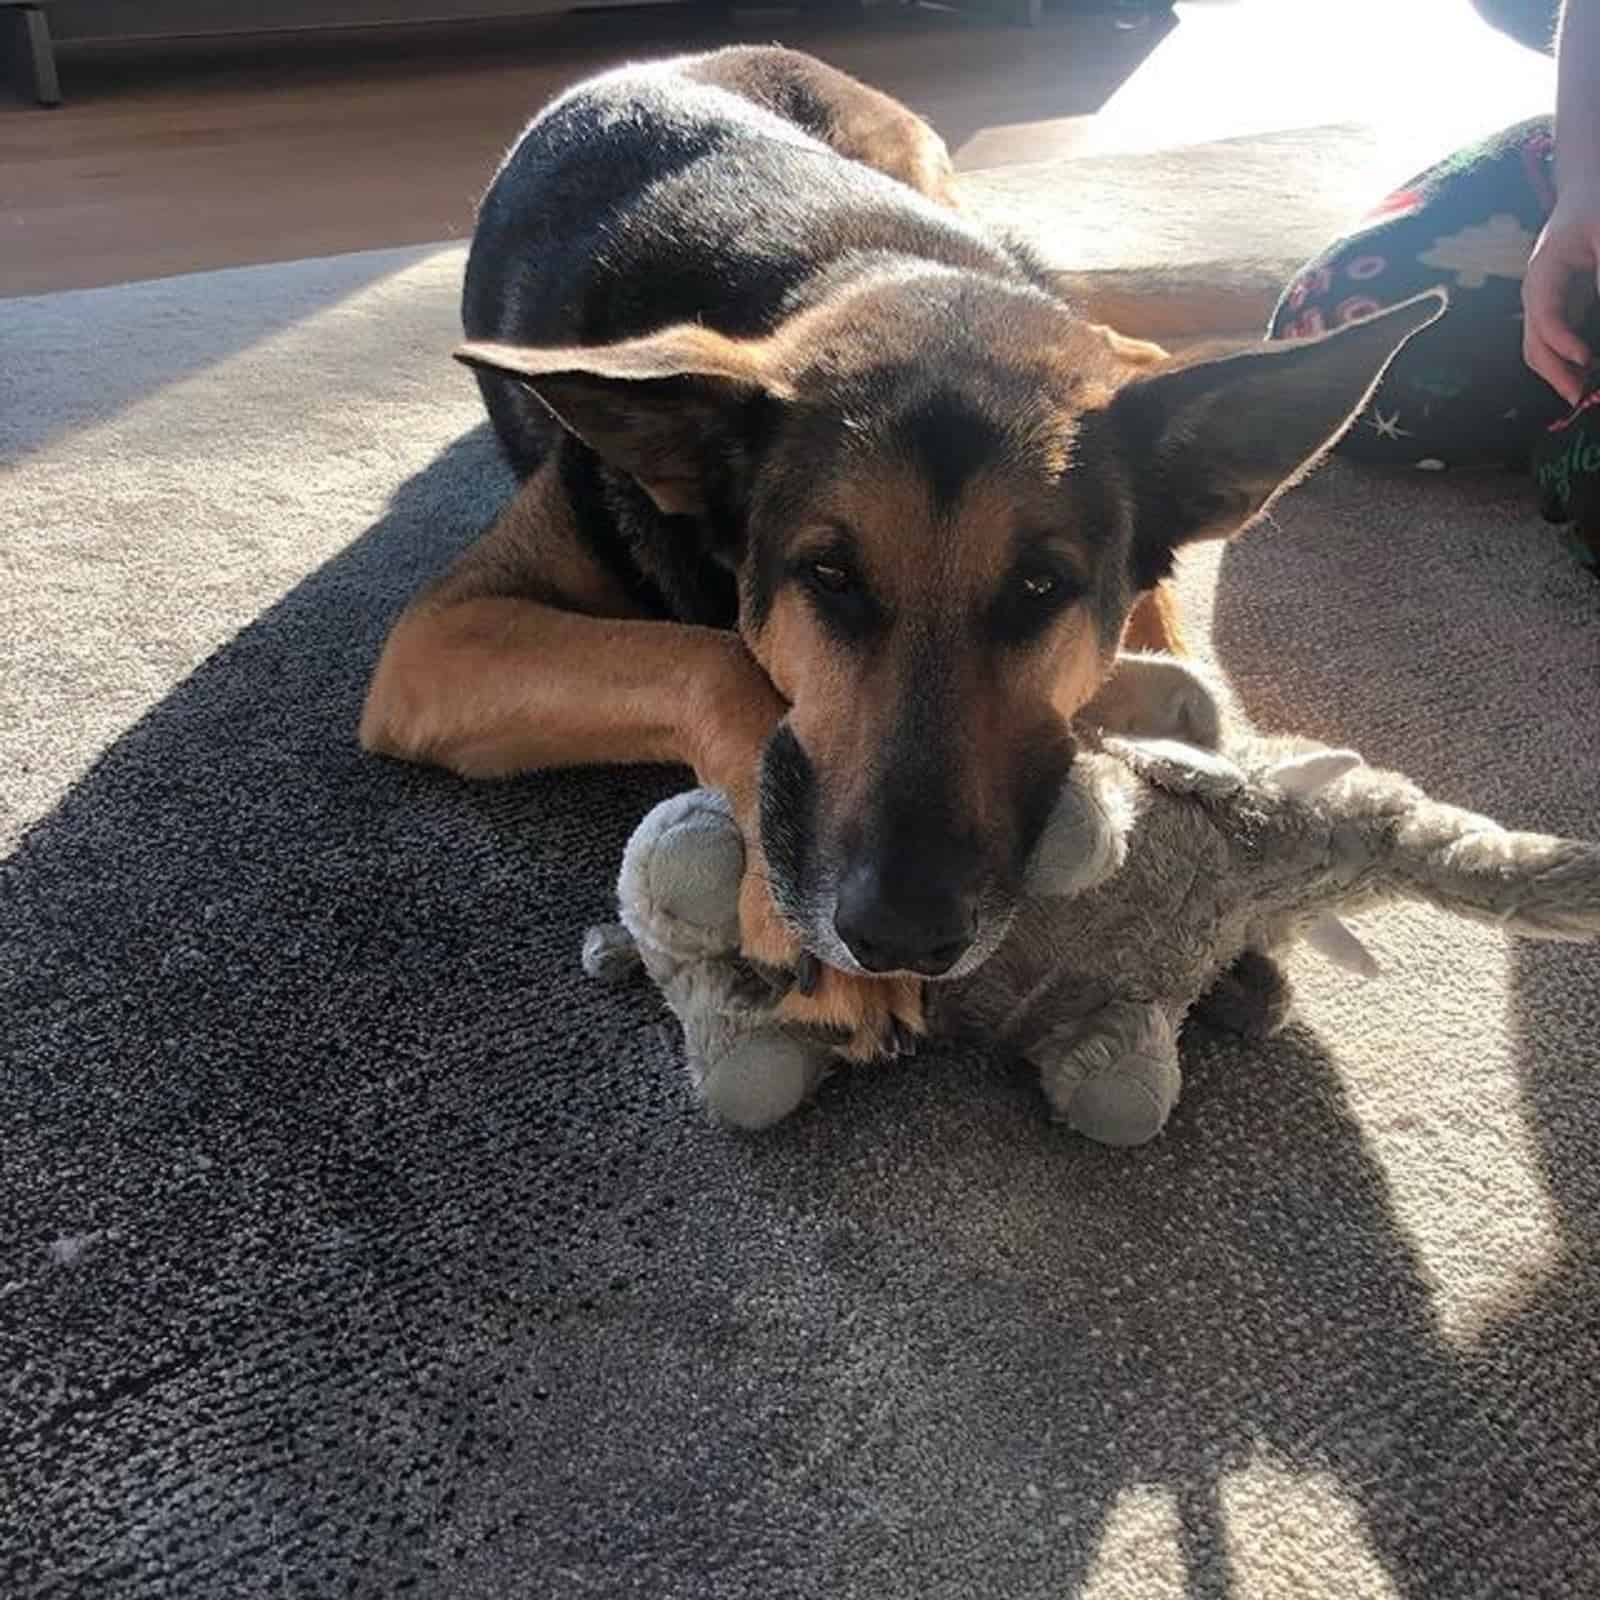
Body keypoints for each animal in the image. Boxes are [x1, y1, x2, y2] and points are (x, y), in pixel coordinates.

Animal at [363, 43, 1440, 1056]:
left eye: (1039, 586)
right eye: (829, 578)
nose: (901, 936)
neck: (864, 261)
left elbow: (1166, 637)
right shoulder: (440, 640)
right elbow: (715, 662)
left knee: (1118, 338)